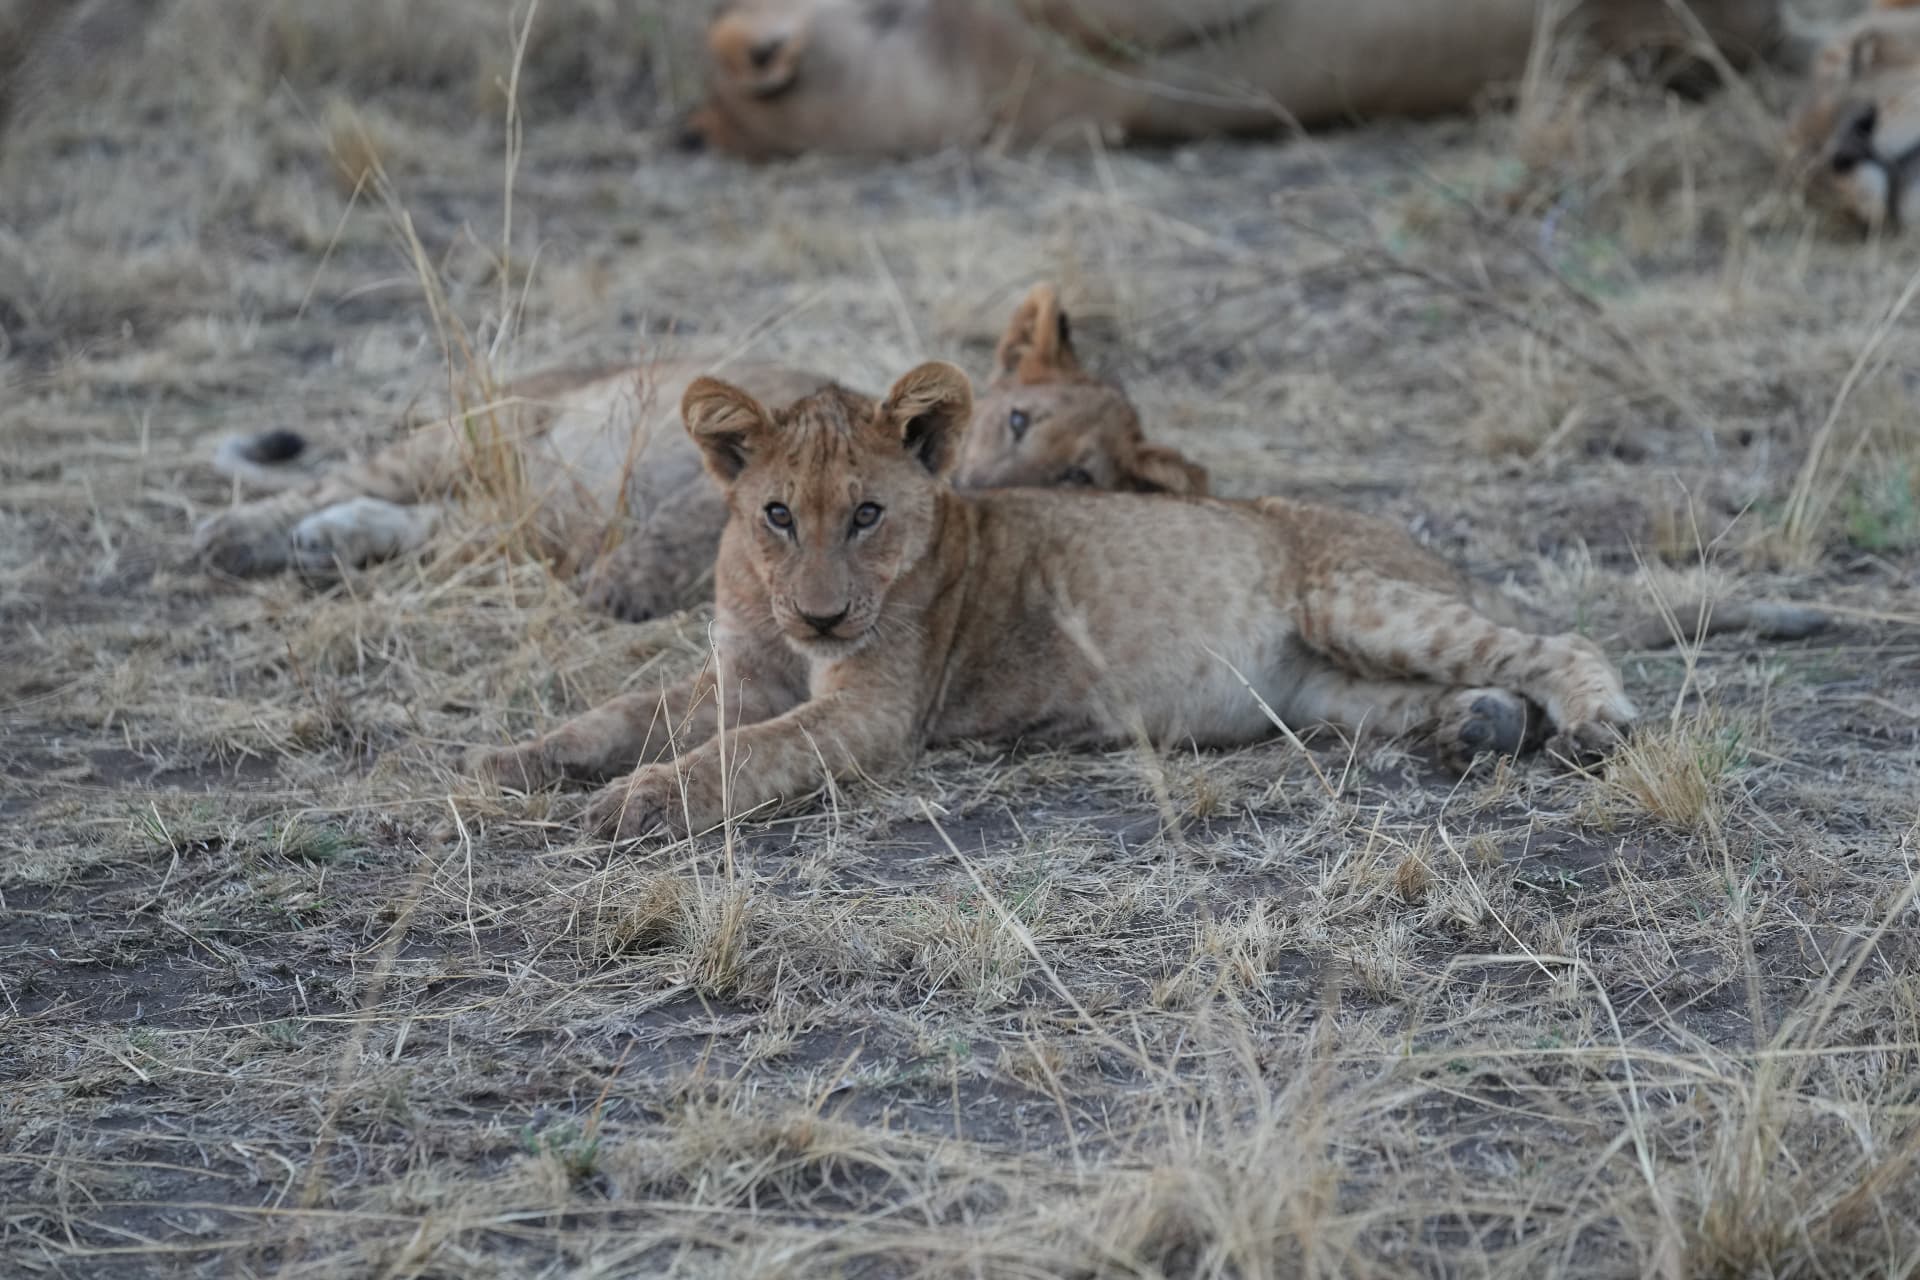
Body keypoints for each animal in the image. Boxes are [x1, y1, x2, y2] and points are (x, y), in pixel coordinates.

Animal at [193, 283, 1204, 621]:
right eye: (1019, 420)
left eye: (1077, 477)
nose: (986, 481)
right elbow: (691, 525)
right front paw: (621, 587)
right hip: (480, 433)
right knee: (343, 482)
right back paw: (234, 539)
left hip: (500, 512)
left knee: (440, 528)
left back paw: (325, 544)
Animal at [473, 360, 1647, 842]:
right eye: (775, 515)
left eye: (866, 515)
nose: (823, 618)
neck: (774, 611)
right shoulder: (740, 672)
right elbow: (628, 712)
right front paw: (519, 760)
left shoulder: (871, 710)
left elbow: (745, 753)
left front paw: (636, 805)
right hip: (1325, 691)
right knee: (1457, 690)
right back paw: (1474, 728)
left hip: (1354, 600)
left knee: (1550, 640)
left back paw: (1593, 724)